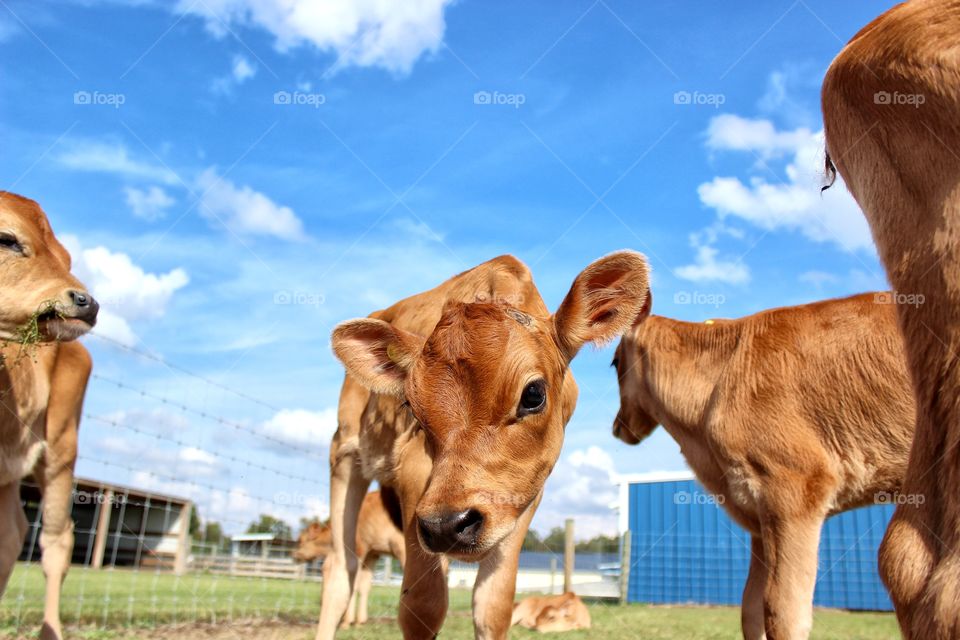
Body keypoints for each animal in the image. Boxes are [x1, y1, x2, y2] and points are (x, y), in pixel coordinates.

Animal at [292, 489, 405, 628]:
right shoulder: (372, 554)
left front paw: (347, 621)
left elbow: (353, 584)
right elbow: (364, 586)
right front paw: (360, 622)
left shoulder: (358, 549)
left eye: (300, 541)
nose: (294, 555)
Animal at [318, 251, 650, 639]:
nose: (447, 526)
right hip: (344, 456)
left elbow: (493, 604)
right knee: (340, 568)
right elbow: (423, 605)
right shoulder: (414, 474)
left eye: (533, 394)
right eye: (410, 407)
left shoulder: (525, 491)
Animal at [612, 292, 915, 639]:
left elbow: (782, 610)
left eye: (615, 362)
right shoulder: (757, 512)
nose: (617, 426)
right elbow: (751, 609)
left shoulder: (793, 487)